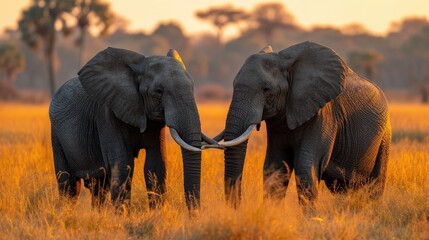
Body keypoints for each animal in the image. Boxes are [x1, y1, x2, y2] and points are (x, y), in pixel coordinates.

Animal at [50, 47, 211, 210]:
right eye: (159, 91)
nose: (194, 214)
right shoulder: (107, 114)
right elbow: (122, 165)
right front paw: (123, 214)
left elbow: (156, 165)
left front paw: (157, 213)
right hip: (56, 135)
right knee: (69, 185)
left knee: (99, 187)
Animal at [212, 41, 390, 206]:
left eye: (266, 89)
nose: (236, 209)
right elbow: (275, 168)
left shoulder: (323, 115)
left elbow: (305, 168)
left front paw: (311, 218)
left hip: (384, 136)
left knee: (375, 185)